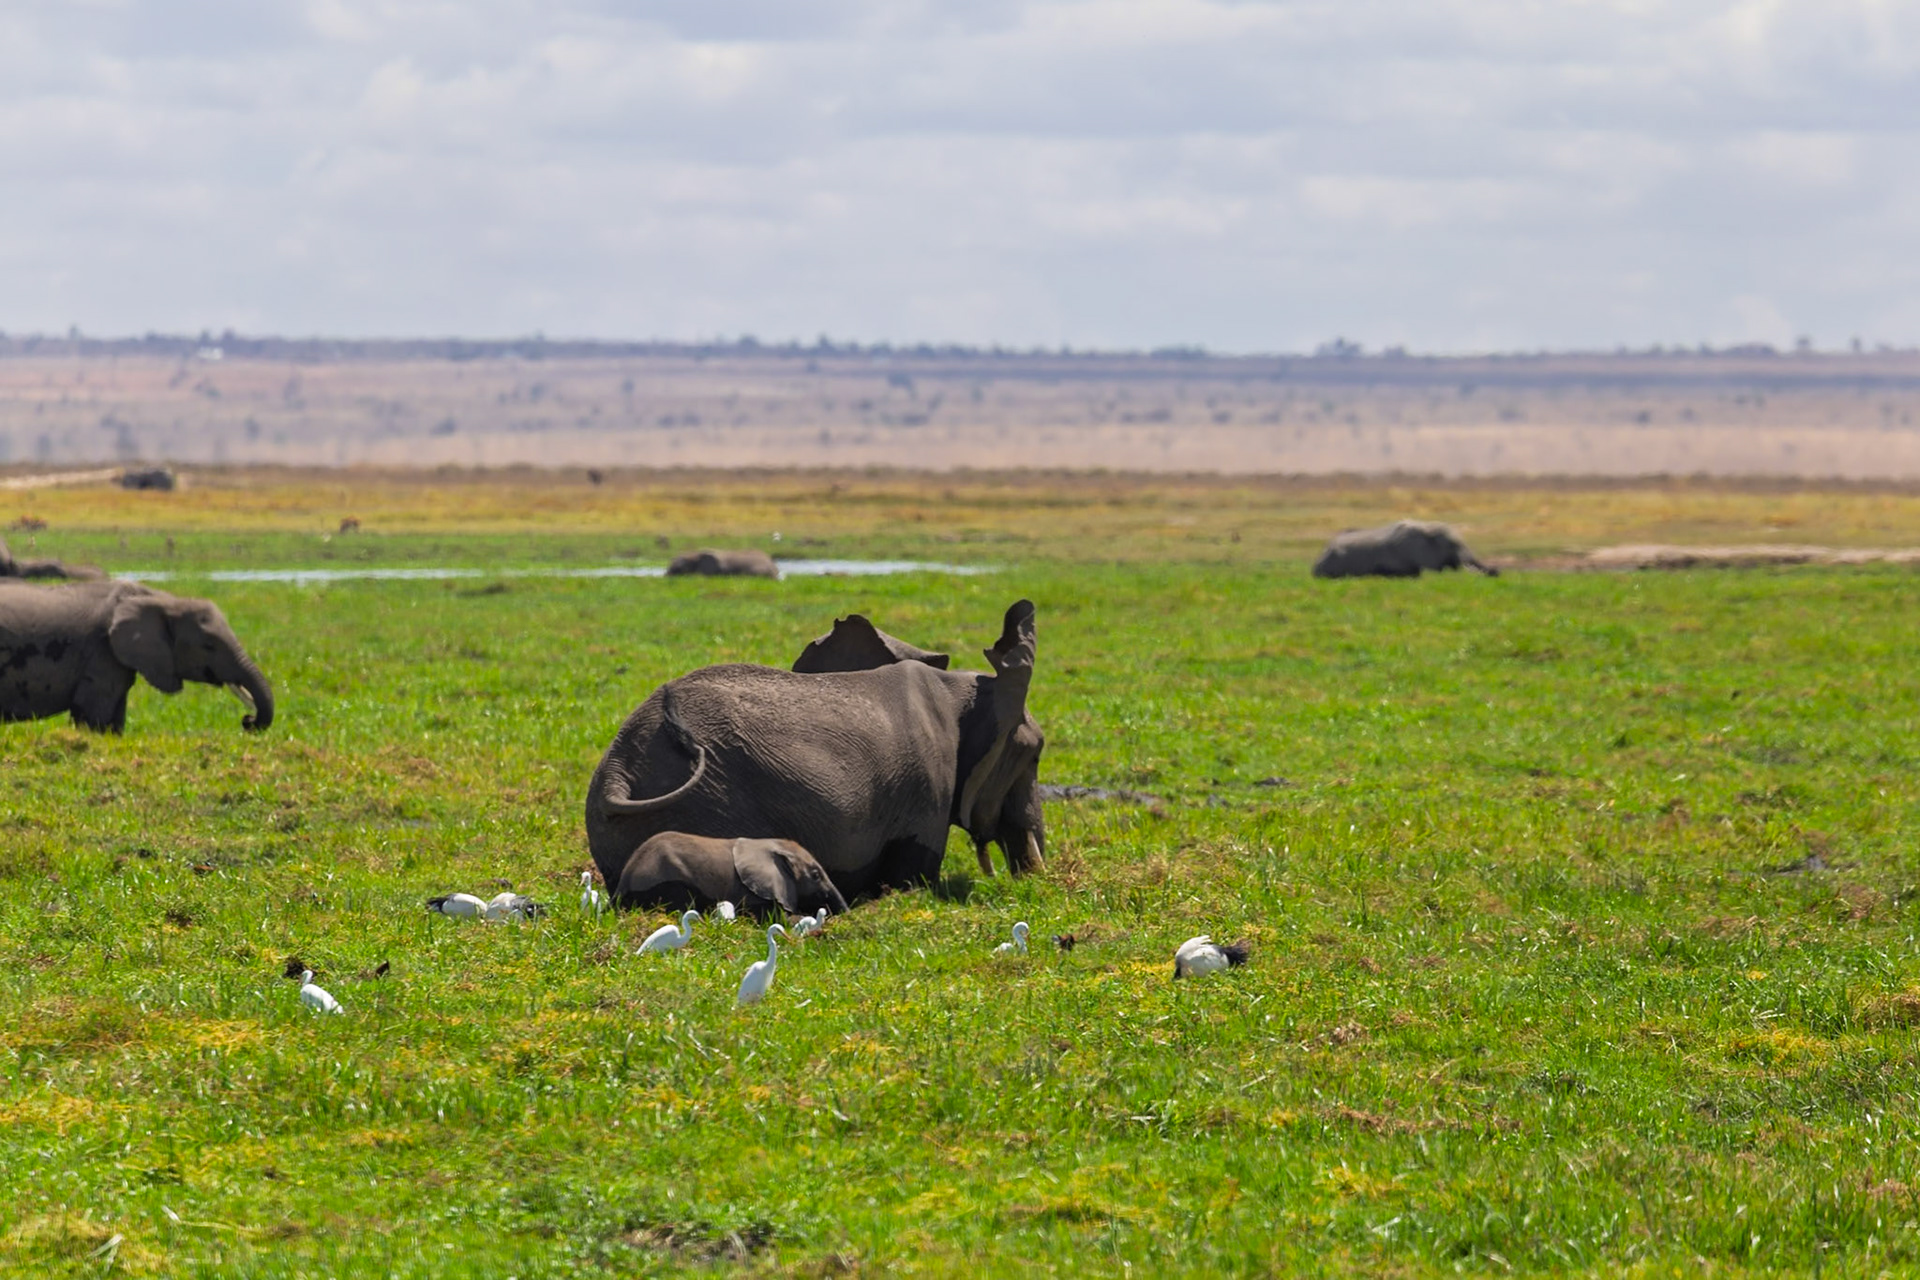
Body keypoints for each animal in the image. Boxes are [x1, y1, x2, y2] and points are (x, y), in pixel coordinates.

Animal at [0, 580, 274, 732]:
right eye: (209, 646)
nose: (247, 721)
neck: (163, 598)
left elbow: (115, 719)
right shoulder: (101, 653)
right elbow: (92, 715)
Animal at [586, 600, 1044, 901]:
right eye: (1035, 752)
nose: (1030, 884)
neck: (961, 691)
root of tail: (617, 772)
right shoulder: (928, 786)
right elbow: (914, 873)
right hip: (713, 804)